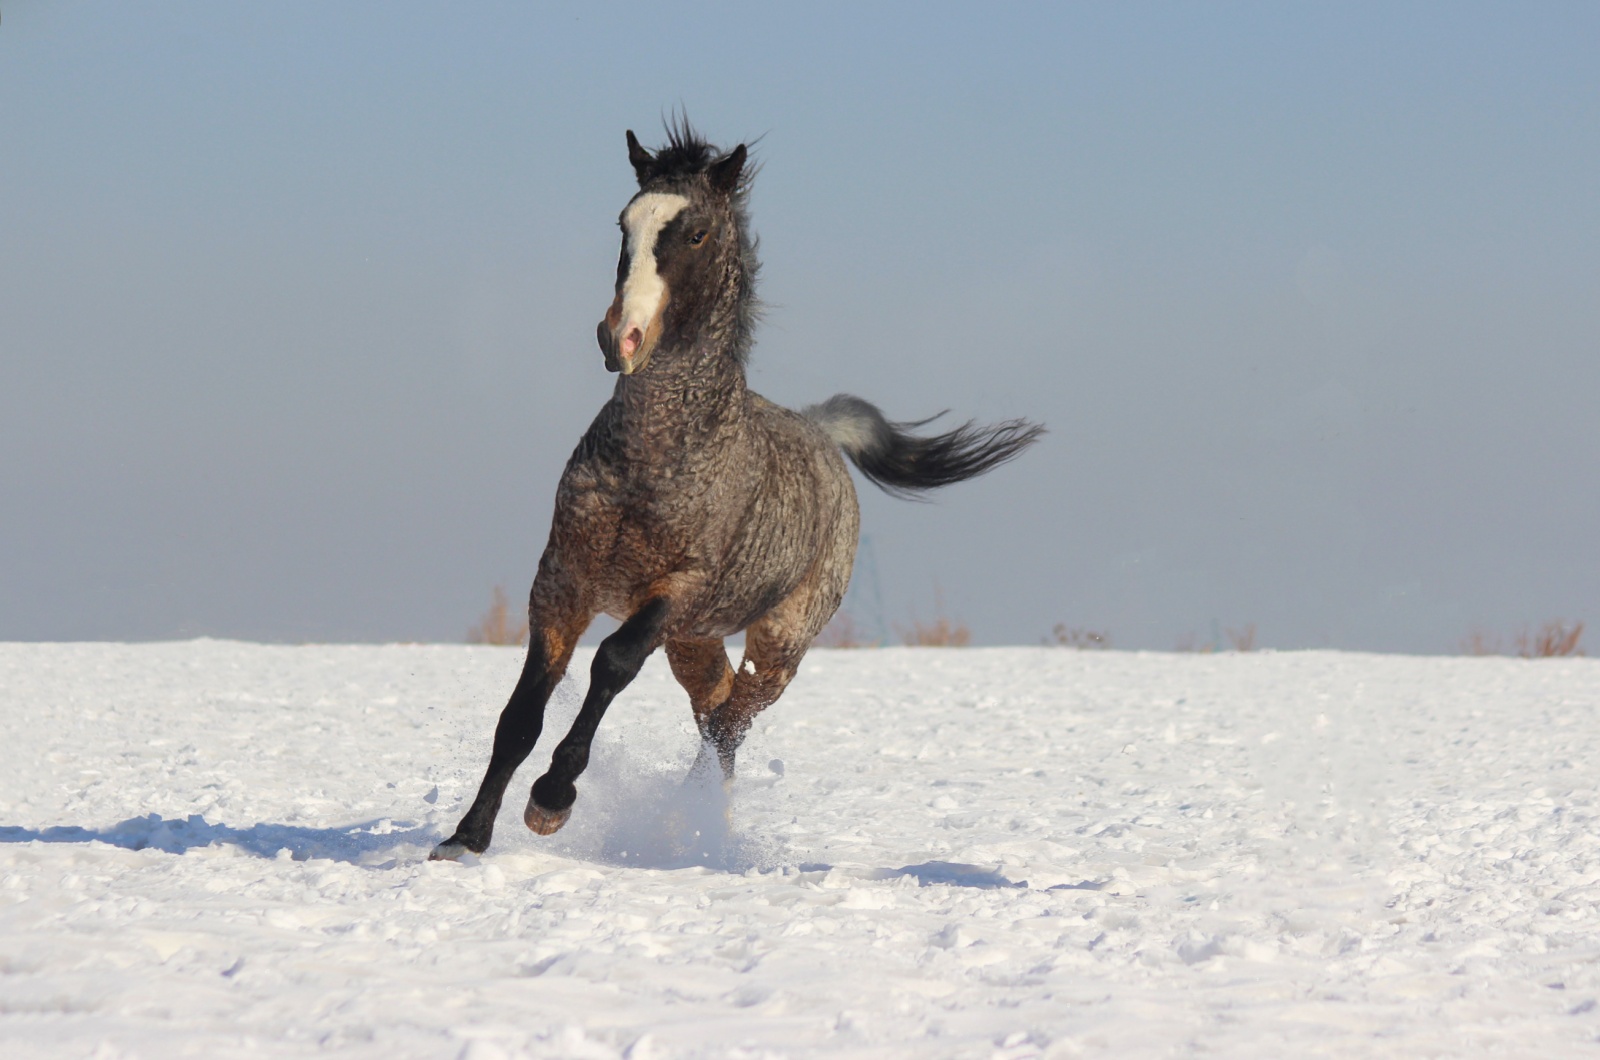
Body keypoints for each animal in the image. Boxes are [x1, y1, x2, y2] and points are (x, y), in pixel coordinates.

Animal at [432, 122, 1043, 864]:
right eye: (624, 223)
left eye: (694, 233)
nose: (620, 337)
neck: (657, 456)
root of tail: (821, 431)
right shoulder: (561, 583)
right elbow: (520, 713)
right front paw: (466, 837)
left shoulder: (677, 588)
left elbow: (610, 664)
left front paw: (551, 800)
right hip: (694, 643)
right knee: (716, 707)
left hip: (778, 644)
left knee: (731, 720)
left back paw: (688, 831)